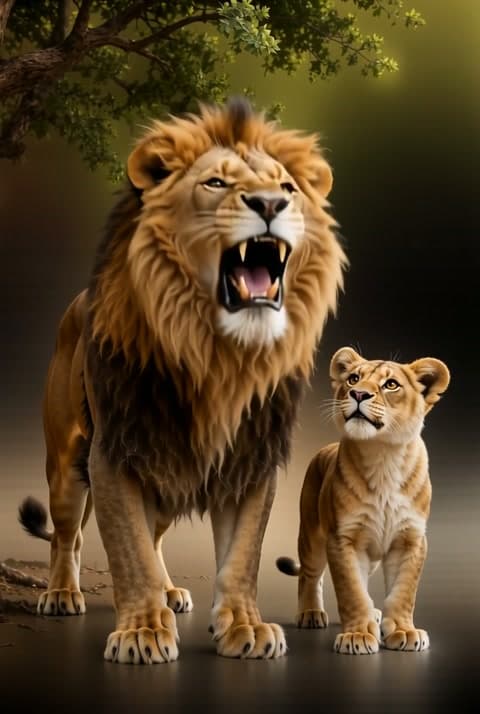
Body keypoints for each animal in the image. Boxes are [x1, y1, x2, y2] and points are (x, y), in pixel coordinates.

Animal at [18, 97, 346, 663]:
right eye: (216, 182)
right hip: (65, 464)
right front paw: (143, 632)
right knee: (67, 536)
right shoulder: (115, 452)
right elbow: (129, 549)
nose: (270, 204)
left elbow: (241, 554)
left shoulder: (249, 459)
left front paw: (244, 626)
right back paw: (62, 593)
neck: (219, 356)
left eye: (287, 187)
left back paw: (171, 592)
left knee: (154, 536)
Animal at [277, 346, 450, 654]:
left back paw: (375, 614)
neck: (383, 456)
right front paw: (356, 636)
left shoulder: (411, 540)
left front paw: (404, 631)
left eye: (391, 384)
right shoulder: (342, 538)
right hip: (311, 535)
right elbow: (352, 590)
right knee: (309, 575)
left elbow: (403, 591)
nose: (358, 393)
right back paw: (310, 614)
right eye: (353, 378)